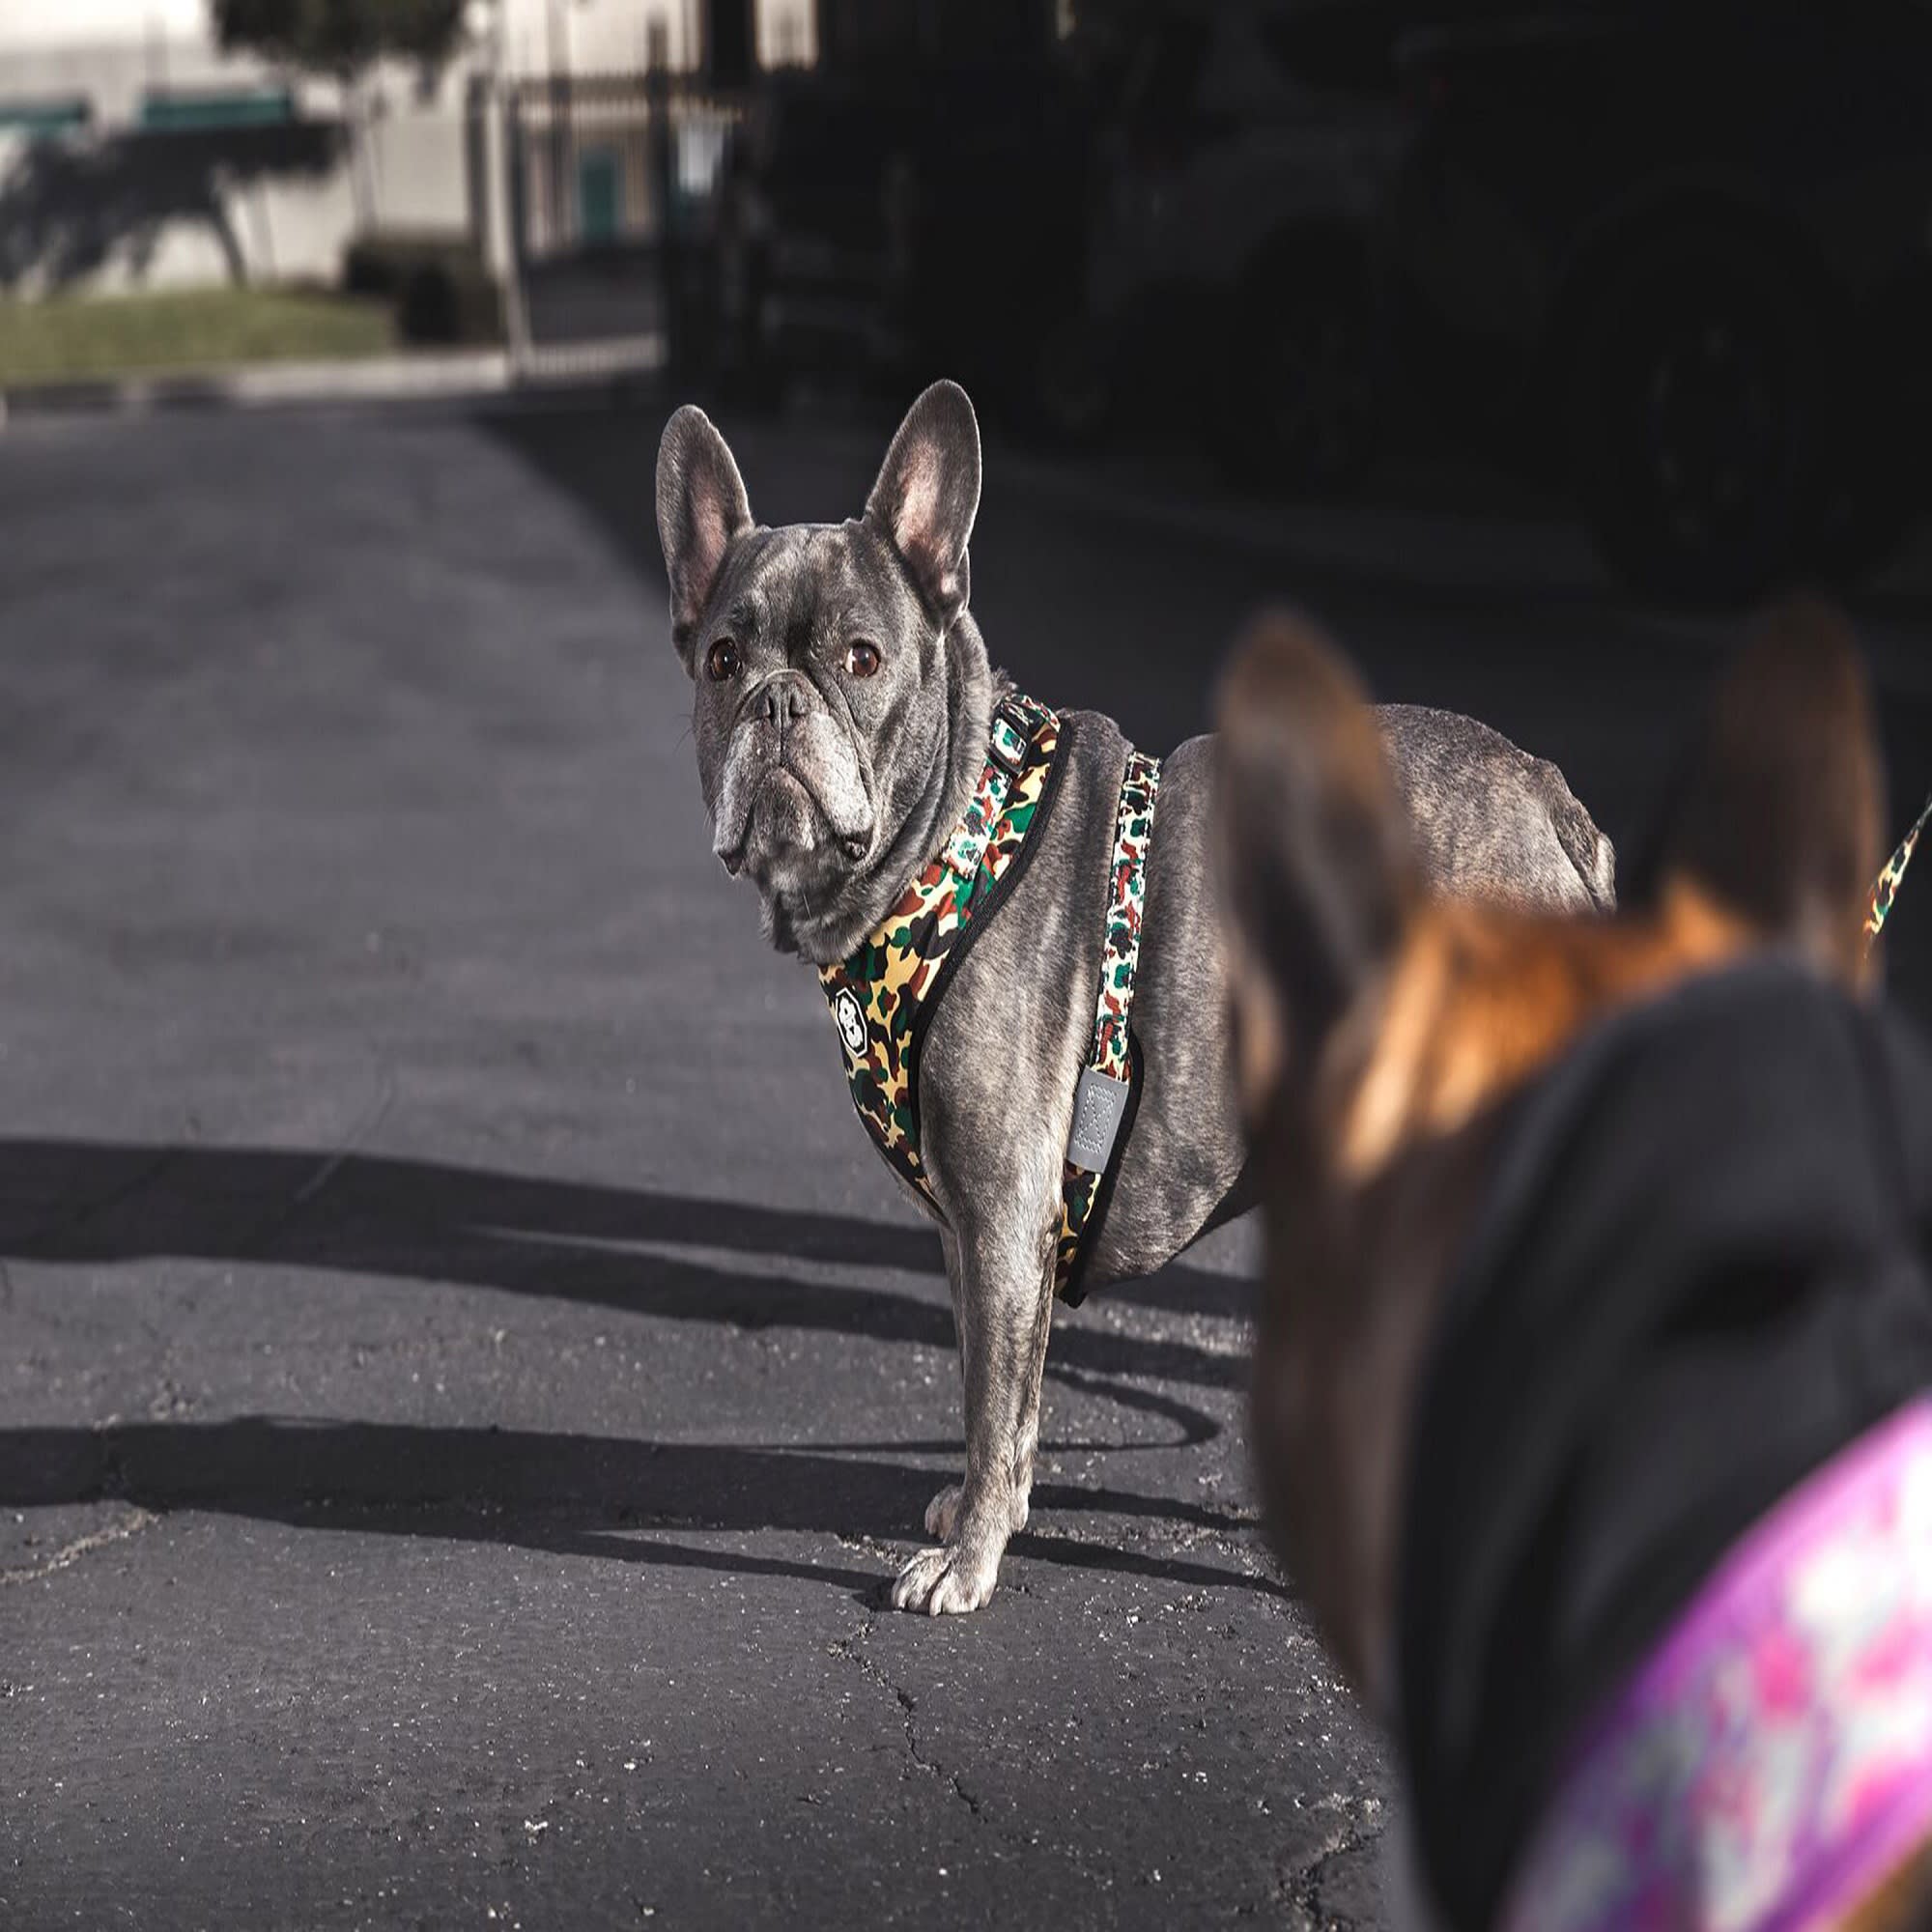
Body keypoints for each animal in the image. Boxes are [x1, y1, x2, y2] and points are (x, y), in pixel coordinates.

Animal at [657, 377, 1607, 1615]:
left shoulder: (1004, 1209)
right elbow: (995, 1383)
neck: (941, 849)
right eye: (722, 660)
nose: (776, 705)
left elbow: (992, 1397)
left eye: (861, 659)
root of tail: (1547, 797)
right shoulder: (972, 1230)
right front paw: (985, 1513)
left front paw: (969, 1559)